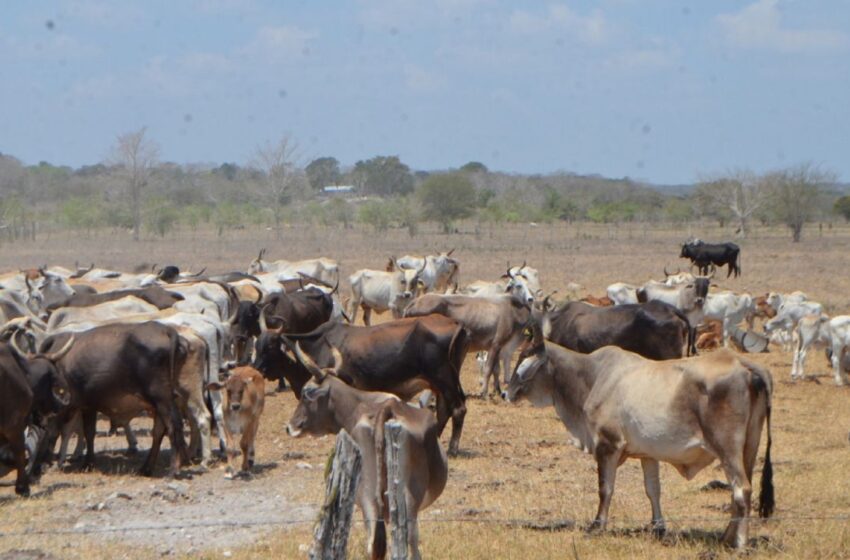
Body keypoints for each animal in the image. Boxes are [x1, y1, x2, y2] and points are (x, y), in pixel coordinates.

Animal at [286, 342, 448, 560]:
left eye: (305, 392)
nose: (290, 426)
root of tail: (388, 408)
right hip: (403, 500)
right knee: (408, 543)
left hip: (370, 499)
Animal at [504, 326, 776, 548]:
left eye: (524, 360)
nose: (507, 393)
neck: (593, 376)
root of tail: (743, 365)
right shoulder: (648, 454)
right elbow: (652, 490)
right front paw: (658, 528)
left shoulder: (608, 446)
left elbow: (606, 488)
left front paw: (596, 526)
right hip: (749, 447)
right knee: (739, 492)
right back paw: (727, 537)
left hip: (727, 448)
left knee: (741, 489)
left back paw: (738, 543)